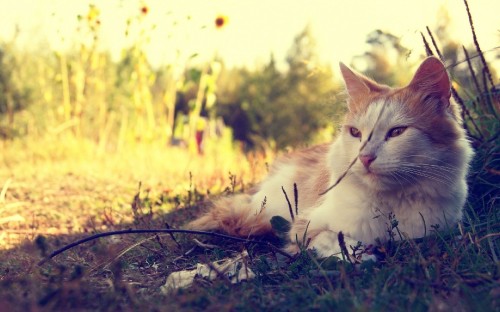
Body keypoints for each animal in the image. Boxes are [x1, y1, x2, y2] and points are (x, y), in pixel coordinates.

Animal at [187, 57, 472, 258]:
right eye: (356, 133)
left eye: (397, 132)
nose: (364, 158)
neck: (392, 204)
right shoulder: (304, 228)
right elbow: (340, 240)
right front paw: (360, 255)